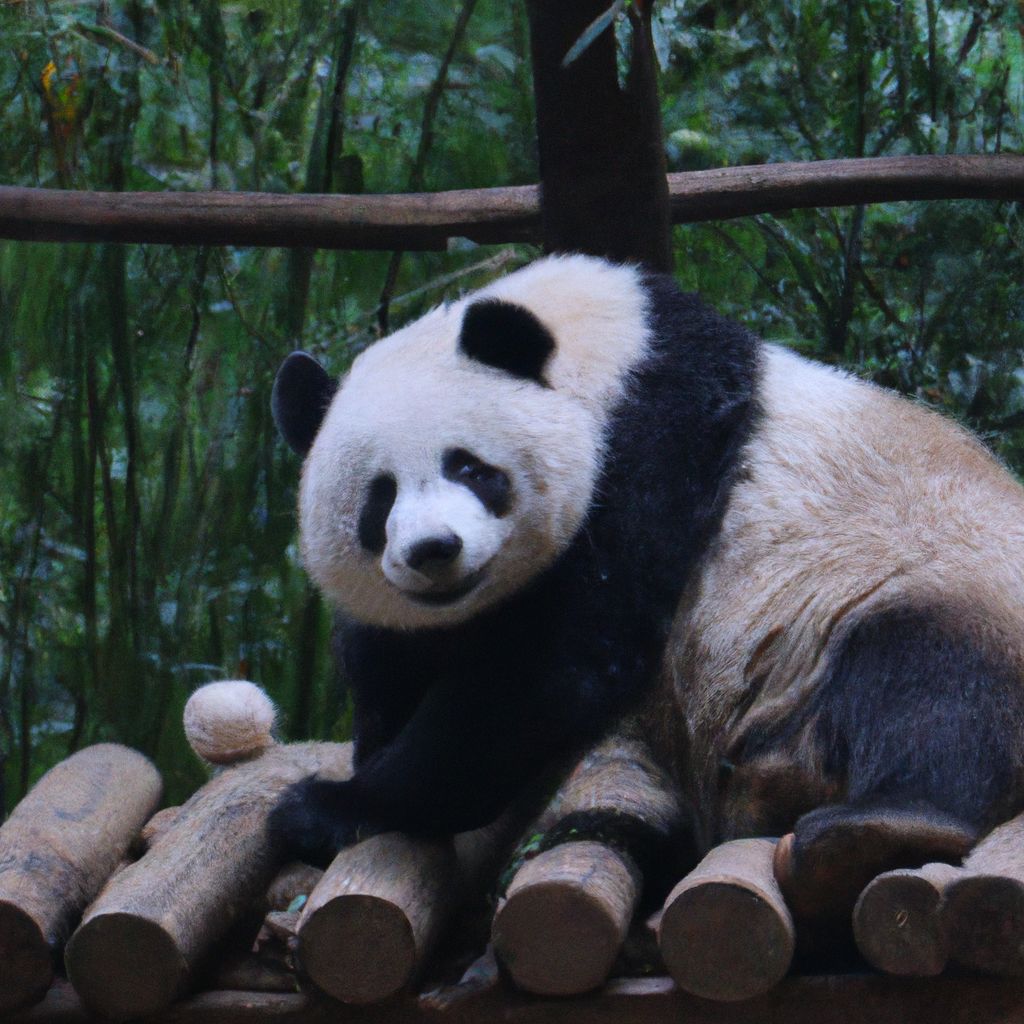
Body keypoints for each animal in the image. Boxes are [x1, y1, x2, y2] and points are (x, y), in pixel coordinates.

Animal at [268, 251, 1024, 925]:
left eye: (471, 469)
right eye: (379, 498)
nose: (433, 550)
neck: (604, 347)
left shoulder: (655, 443)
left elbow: (555, 670)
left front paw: (328, 808)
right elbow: (394, 663)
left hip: (925, 579)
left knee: (933, 680)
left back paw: (886, 826)